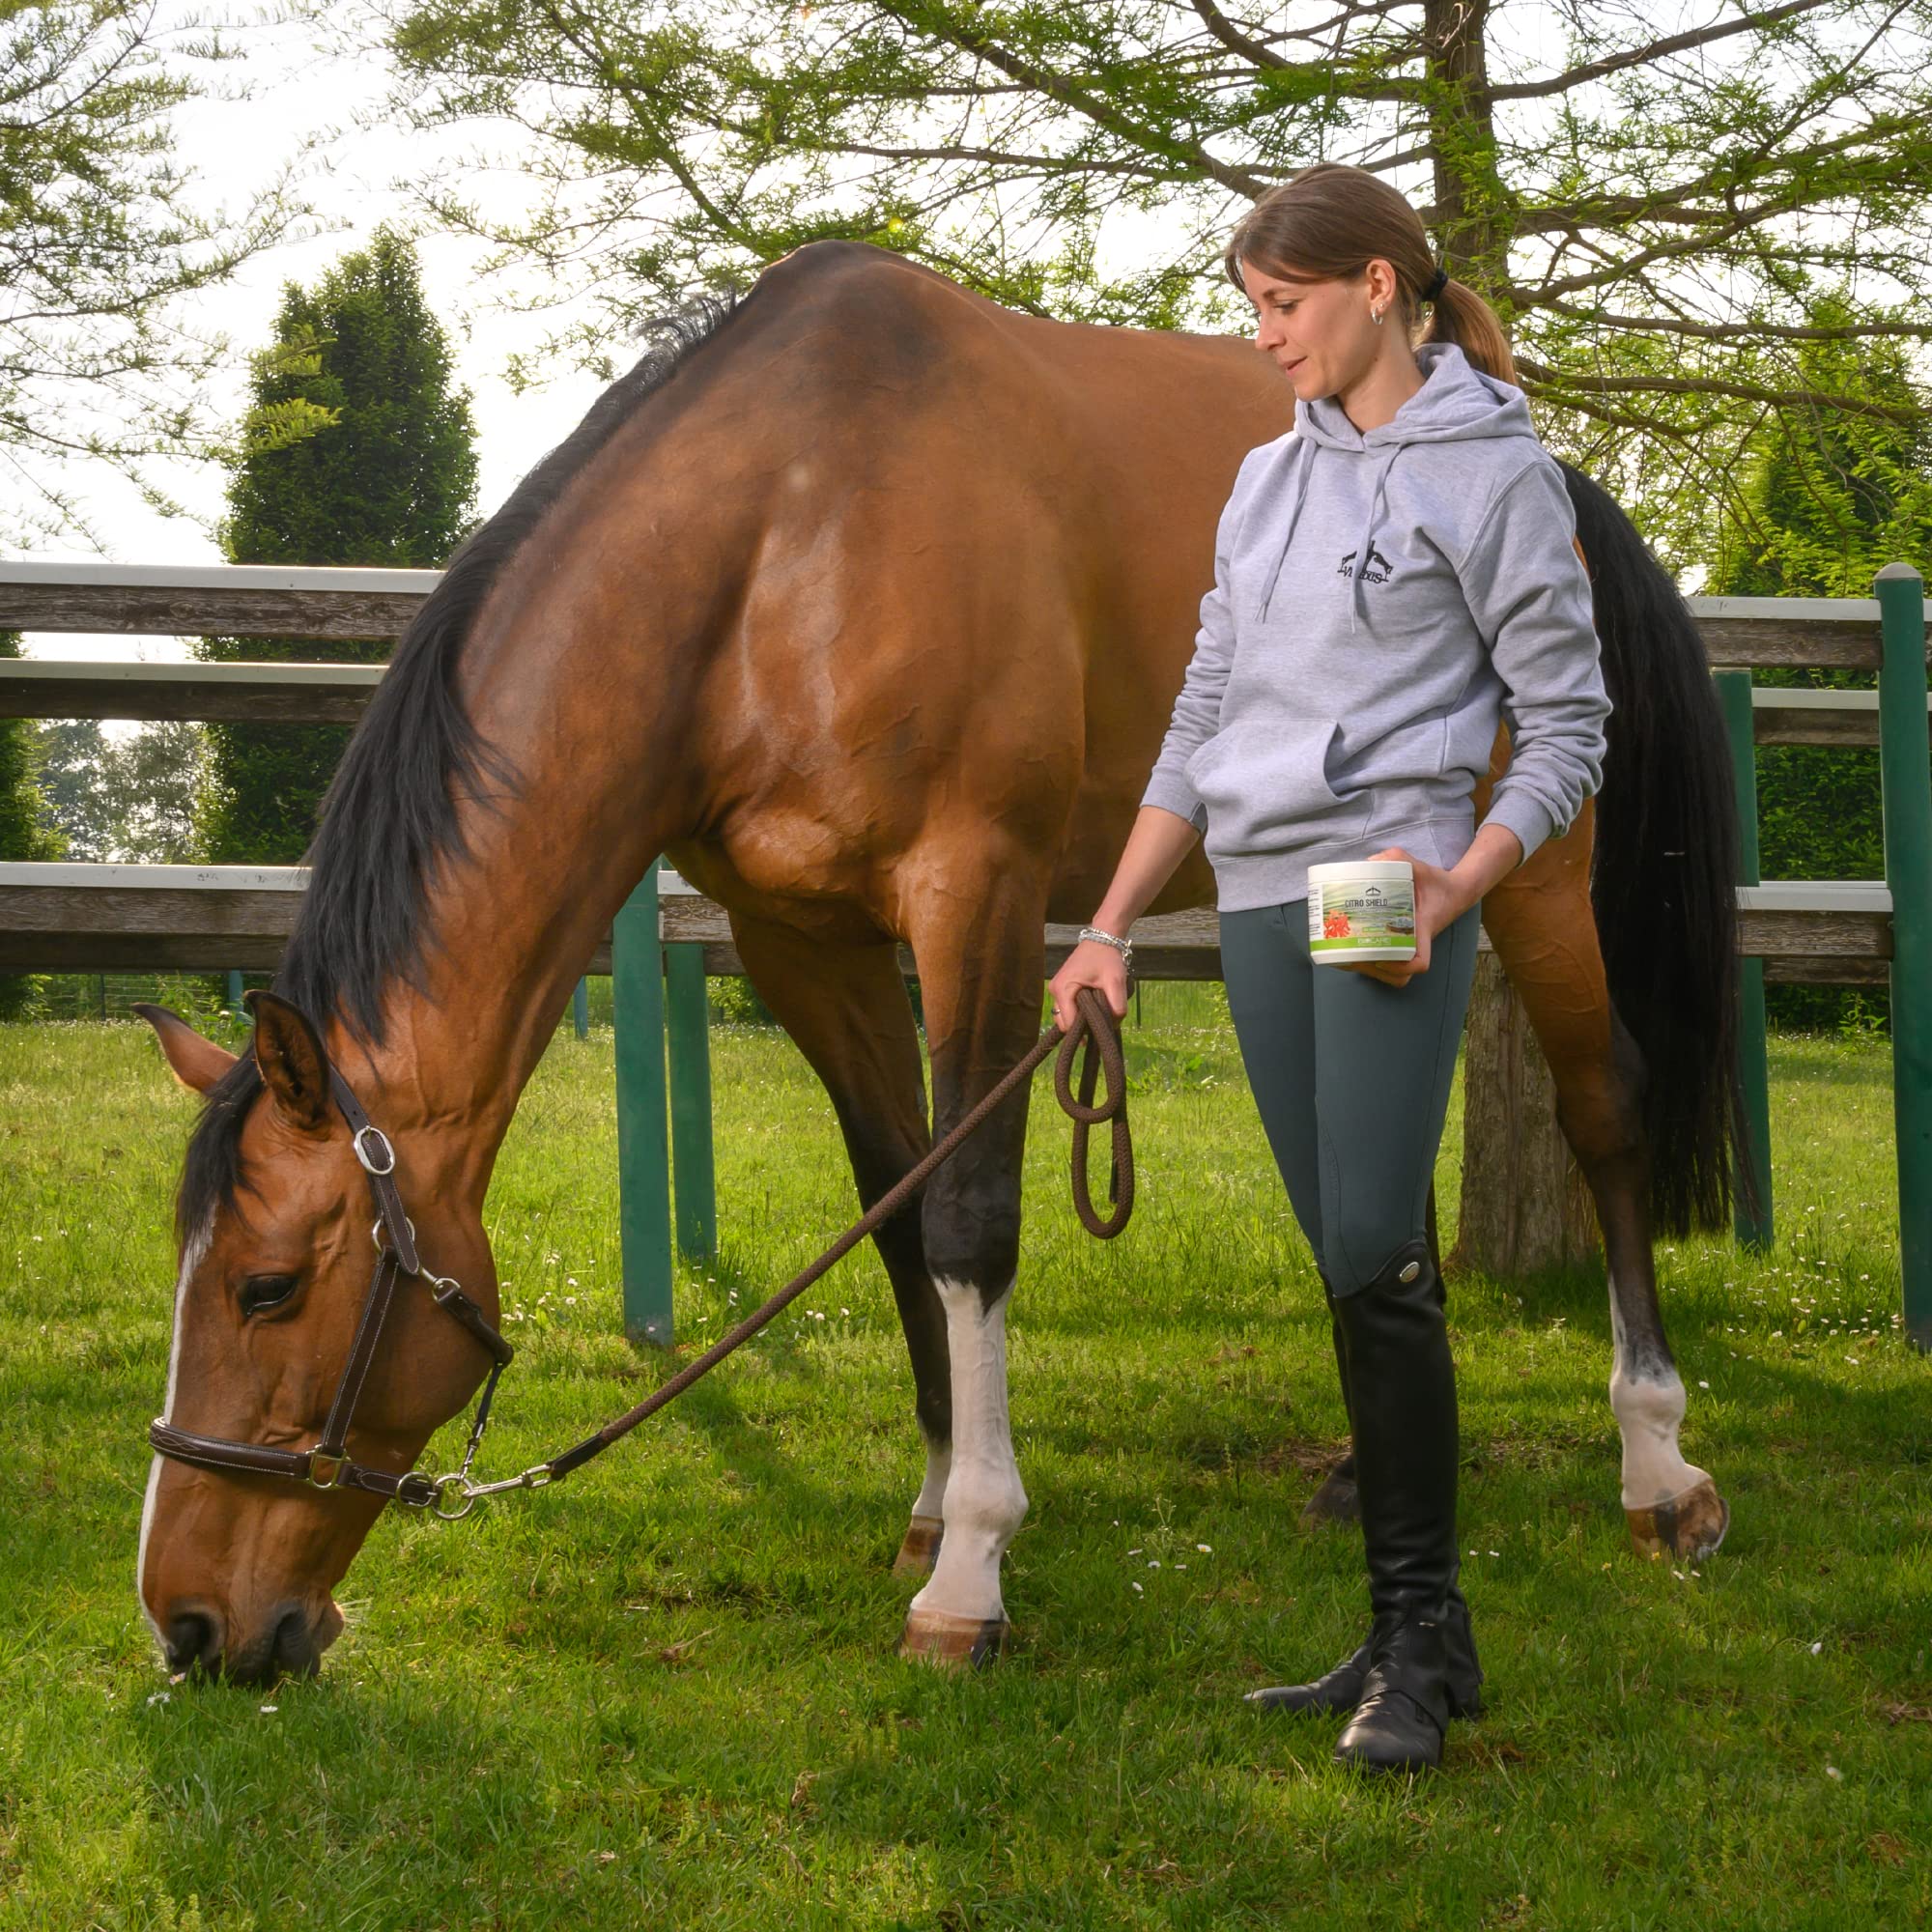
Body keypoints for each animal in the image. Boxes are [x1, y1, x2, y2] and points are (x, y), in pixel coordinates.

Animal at [134, 238, 1749, 1685]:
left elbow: (971, 1219)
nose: (192, 1625)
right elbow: (897, 1207)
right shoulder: (805, 948)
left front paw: (970, 1568)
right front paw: (927, 1508)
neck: (784, 545)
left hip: (1533, 870)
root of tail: (1553, 471)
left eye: (267, 1289)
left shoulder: (975, 895)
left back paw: (1660, 1468)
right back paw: (1368, 1466)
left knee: (1604, 1110)